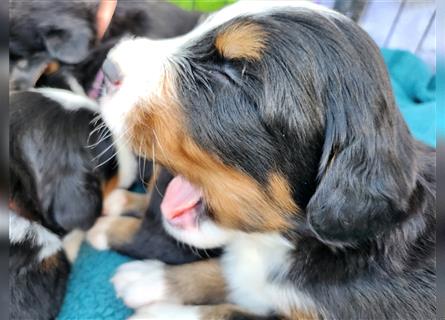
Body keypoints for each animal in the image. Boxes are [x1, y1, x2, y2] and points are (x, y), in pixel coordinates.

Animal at [90, 1, 434, 318]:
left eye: (231, 74)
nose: (108, 68)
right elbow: (232, 271)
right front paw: (149, 278)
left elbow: (229, 310)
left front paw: (158, 303)